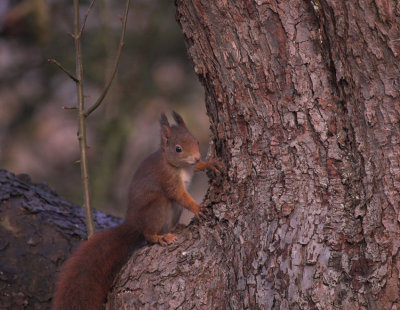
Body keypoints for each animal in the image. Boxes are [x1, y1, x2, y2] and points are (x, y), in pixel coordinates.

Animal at [51, 111, 220, 310]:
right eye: (178, 149)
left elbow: (198, 169)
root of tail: (133, 224)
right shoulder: (167, 179)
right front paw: (198, 208)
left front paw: (209, 164)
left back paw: (176, 227)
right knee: (148, 233)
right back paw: (159, 237)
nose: (196, 157)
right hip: (156, 207)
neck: (180, 166)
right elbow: (180, 196)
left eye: (196, 141)